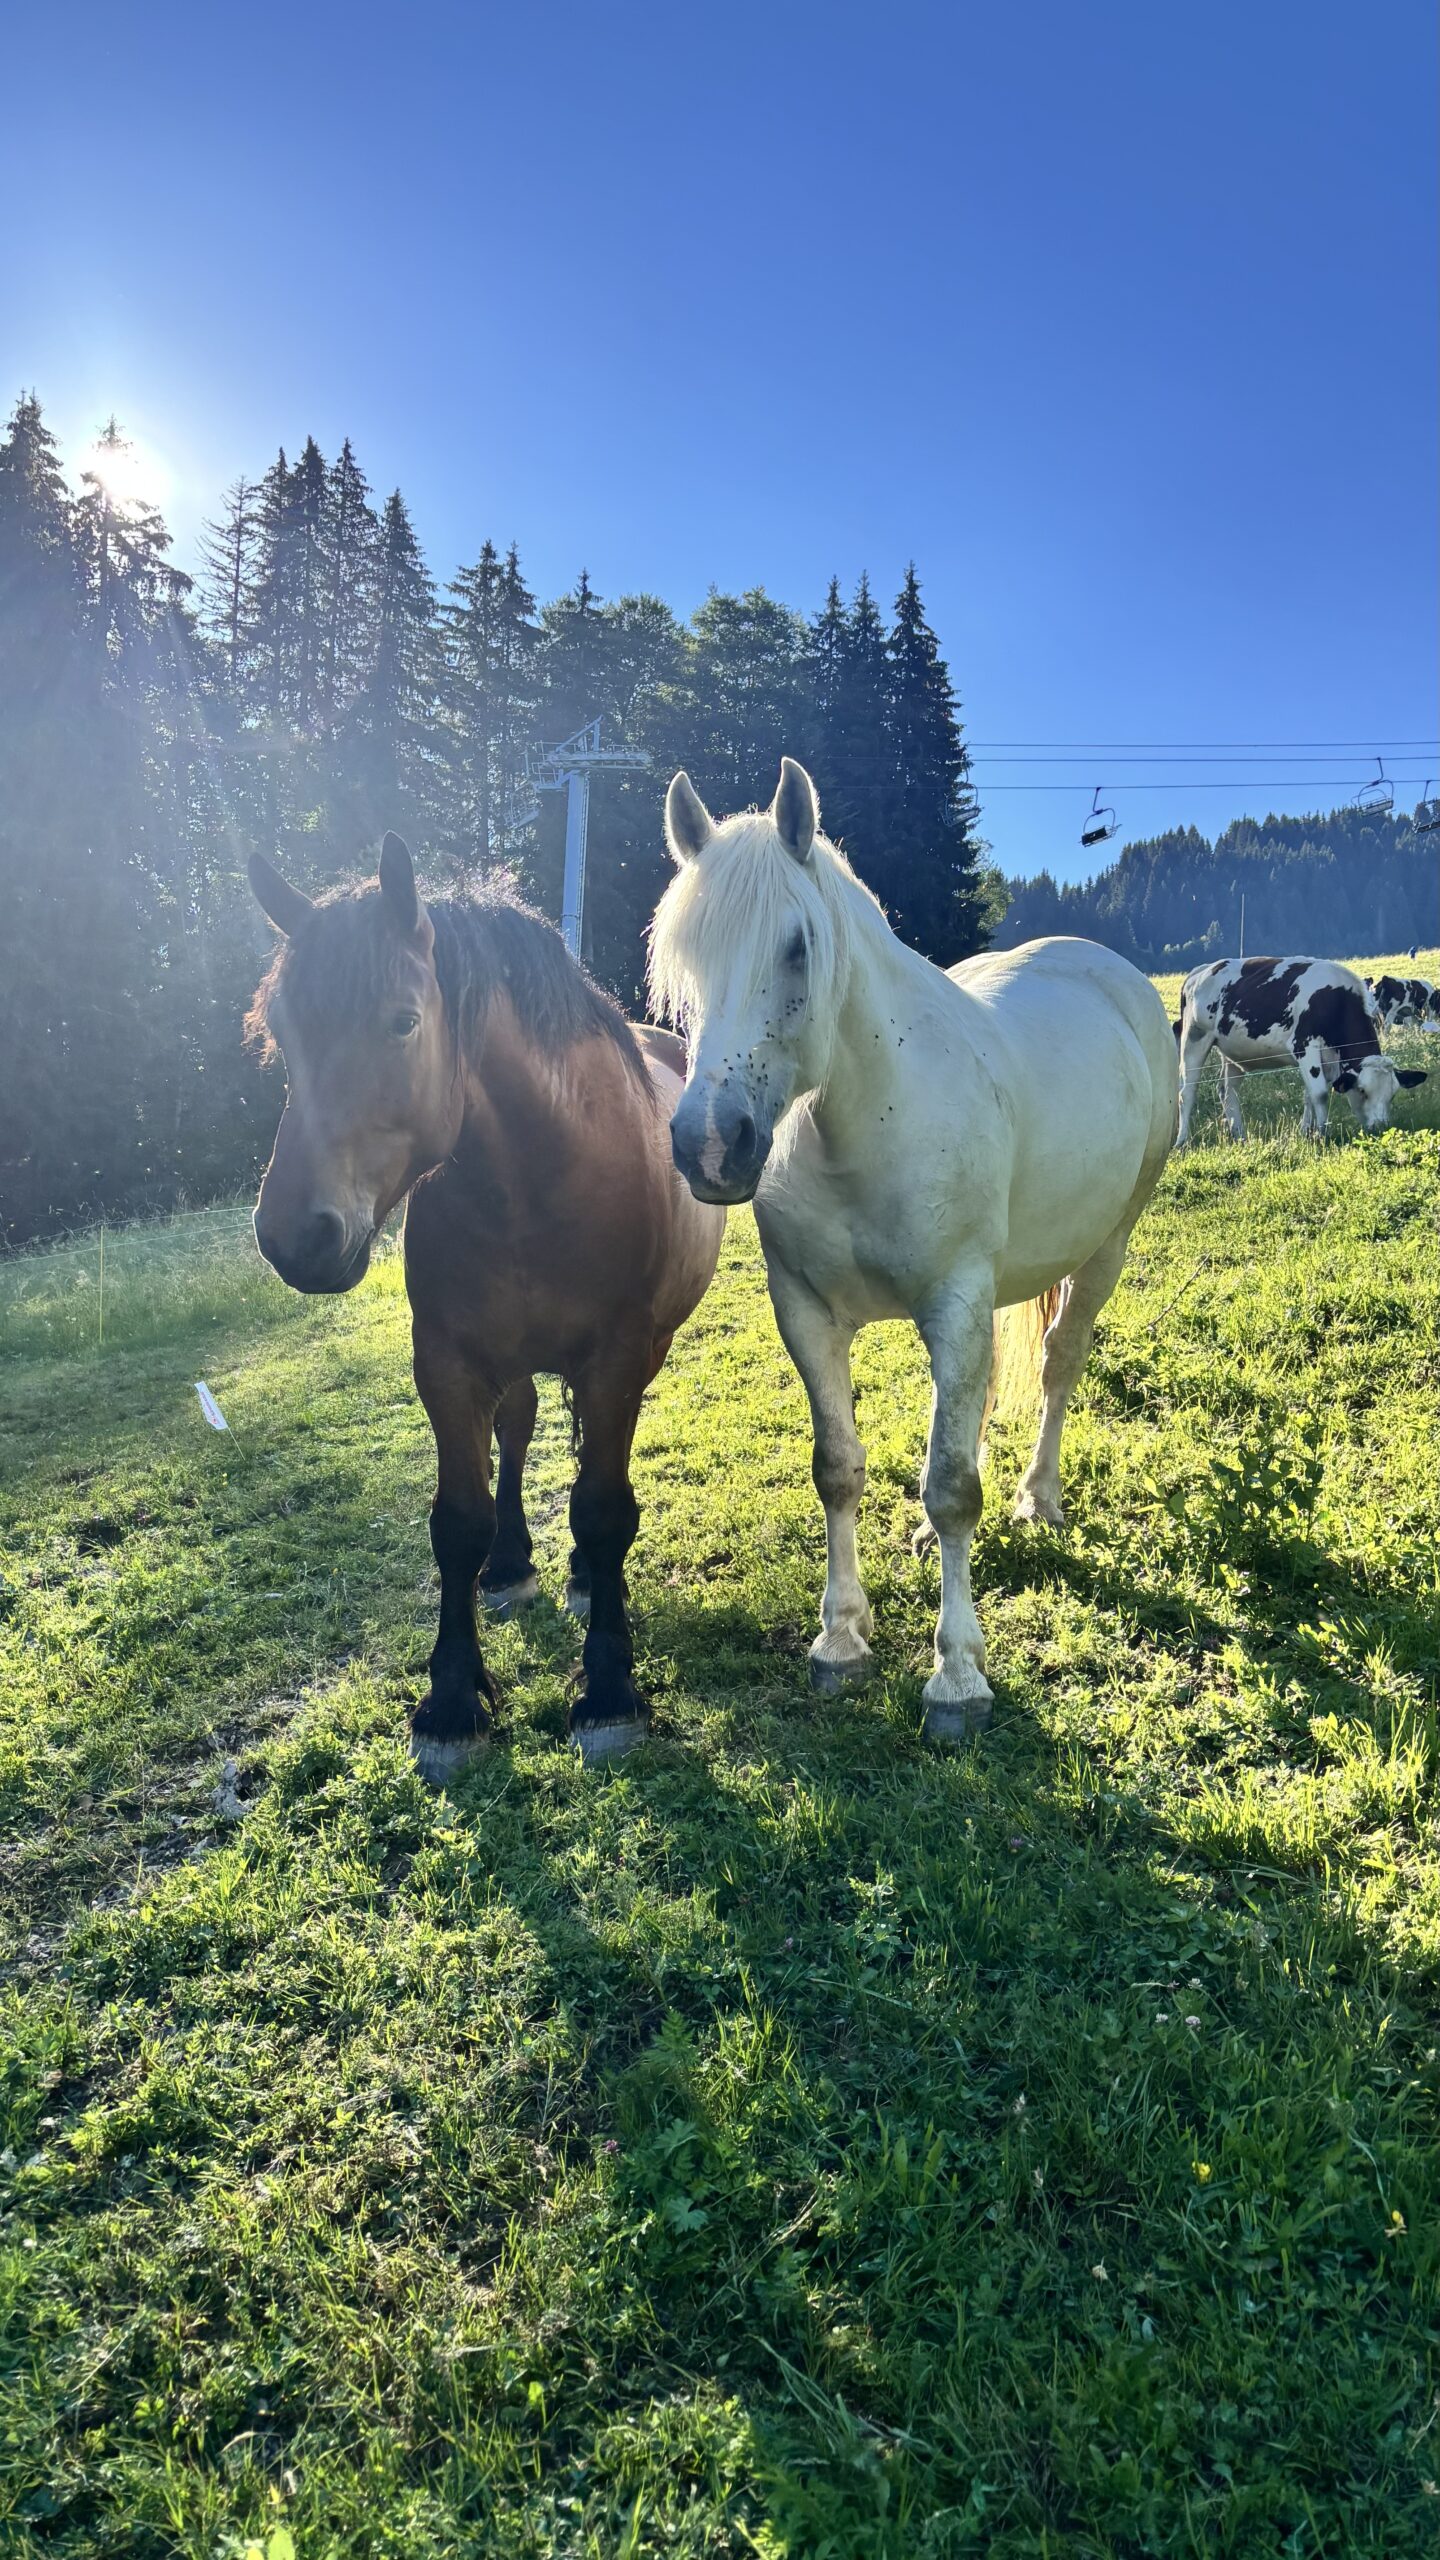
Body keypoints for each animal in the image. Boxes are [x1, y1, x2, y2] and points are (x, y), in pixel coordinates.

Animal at [247, 834, 724, 1777]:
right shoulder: (448, 1362)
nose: (295, 1237)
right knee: (524, 1425)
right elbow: (456, 1522)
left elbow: (604, 1508)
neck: (538, 1174)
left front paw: (608, 1690)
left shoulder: (617, 1357)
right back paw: (513, 1567)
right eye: (283, 1029)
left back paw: (580, 1579)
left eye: (403, 1021)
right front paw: (452, 1700)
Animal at [648, 759, 1177, 1745]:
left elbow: (955, 1484)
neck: (859, 1118)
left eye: (797, 947)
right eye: (682, 957)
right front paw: (841, 1640)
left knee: (1058, 1367)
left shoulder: (957, 1303)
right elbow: (840, 1469)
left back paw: (1038, 1499)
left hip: (1105, 1249)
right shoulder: (807, 1311)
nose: (709, 1146)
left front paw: (957, 1677)